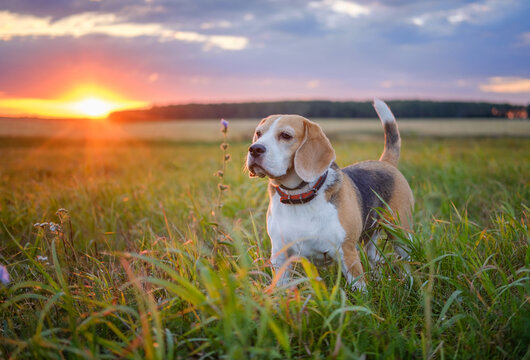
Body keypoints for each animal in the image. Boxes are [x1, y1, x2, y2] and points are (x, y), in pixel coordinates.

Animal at [248, 100, 412, 292]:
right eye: (258, 133)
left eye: (286, 135)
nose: (254, 149)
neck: (298, 196)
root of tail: (385, 163)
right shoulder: (280, 257)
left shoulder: (347, 252)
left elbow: (360, 290)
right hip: (371, 237)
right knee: (375, 258)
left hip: (400, 233)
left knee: (407, 261)